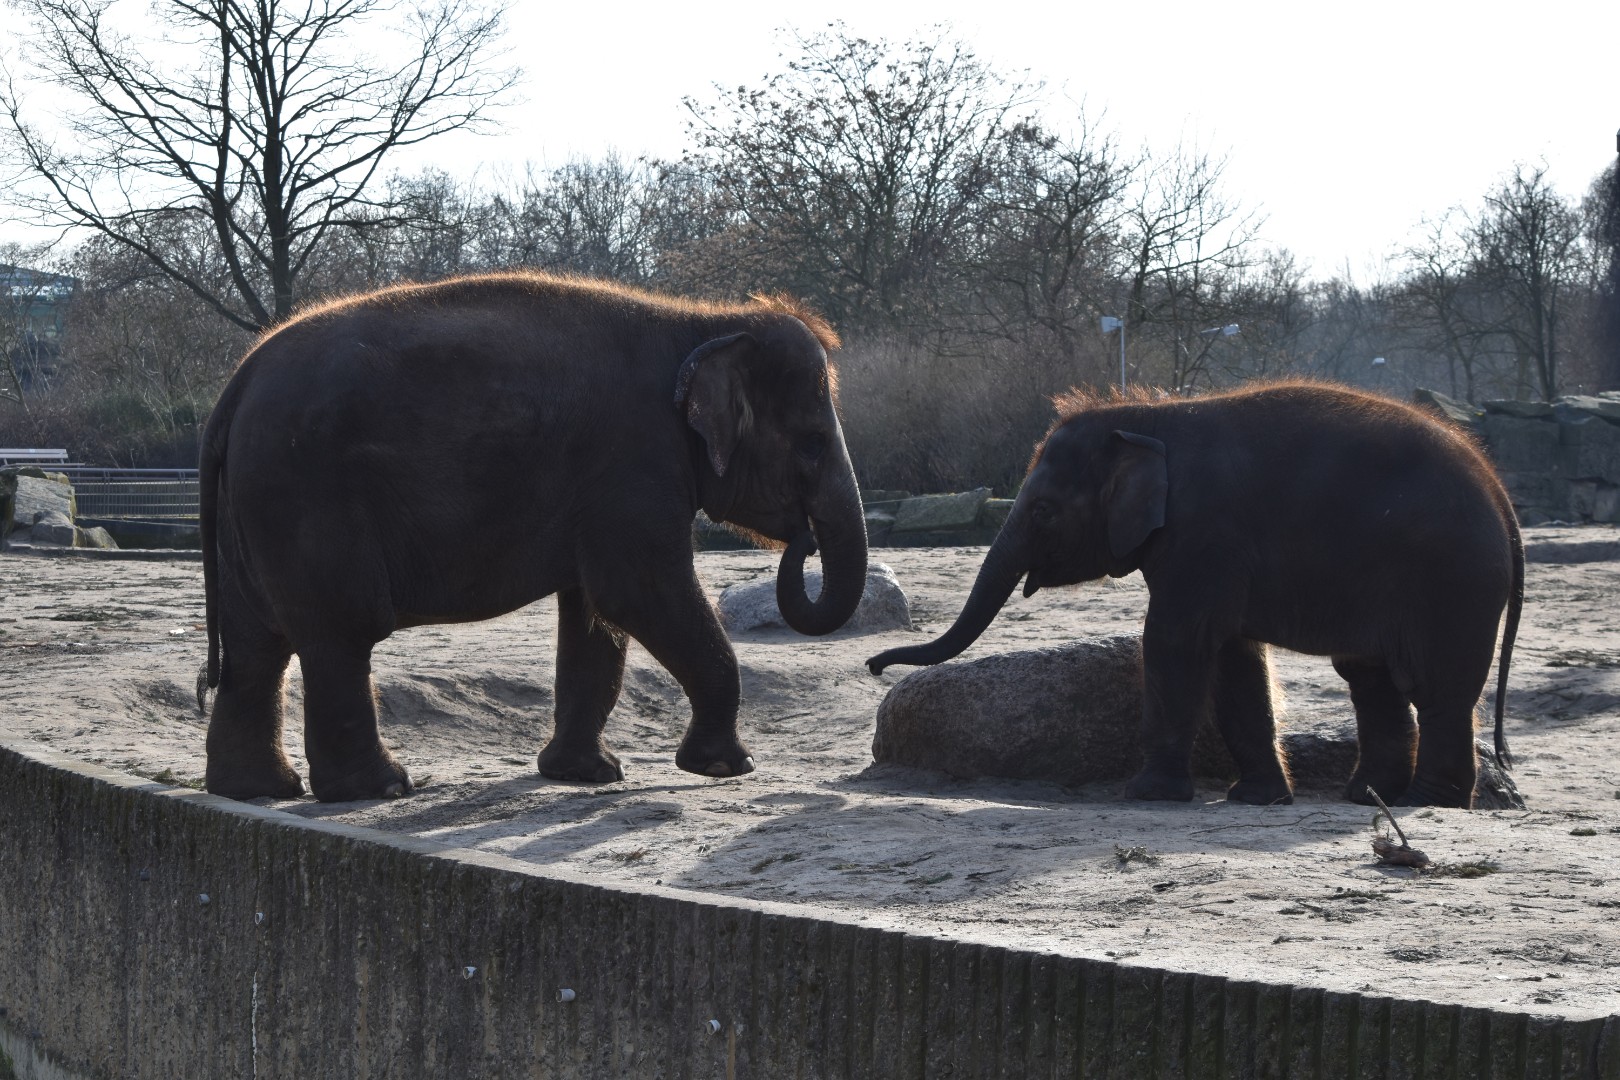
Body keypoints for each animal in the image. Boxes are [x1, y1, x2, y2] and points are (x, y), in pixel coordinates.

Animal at [198, 272, 867, 802]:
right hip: (306, 496)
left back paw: (256, 790)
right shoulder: (634, 459)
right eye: (812, 445)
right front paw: (727, 768)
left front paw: (585, 774)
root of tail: (235, 387)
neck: (703, 321)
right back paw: (379, 789)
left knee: (255, 644)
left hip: (252, 509)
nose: (803, 540)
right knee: (341, 630)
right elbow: (638, 592)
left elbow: (595, 614)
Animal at [868, 381, 1522, 809]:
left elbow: (1174, 641)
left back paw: (1424, 803)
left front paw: (1144, 795)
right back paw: (1367, 798)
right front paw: (1255, 799)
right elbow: (1233, 656)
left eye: (1044, 511)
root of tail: (1500, 493)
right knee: (1371, 678)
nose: (874, 666)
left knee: (1436, 689)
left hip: (1451, 581)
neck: (1147, 419)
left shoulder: (1204, 534)